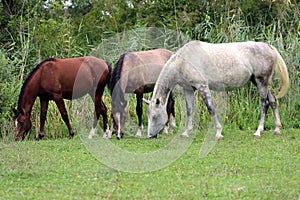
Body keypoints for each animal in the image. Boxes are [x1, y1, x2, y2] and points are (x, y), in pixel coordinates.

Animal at [146, 40, 290, 139]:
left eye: (154, 116)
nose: (150, 135)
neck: (184, 62)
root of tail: (269, 47)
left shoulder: (203, 86)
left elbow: (211, 108)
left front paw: (218, 132)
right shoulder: (189, 89)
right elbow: (189, 110)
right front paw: (186, 133)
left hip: (261, 82)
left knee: (264, 104)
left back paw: (258, 131)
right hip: (259, 82)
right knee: (272, 101)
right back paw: (277, 129)